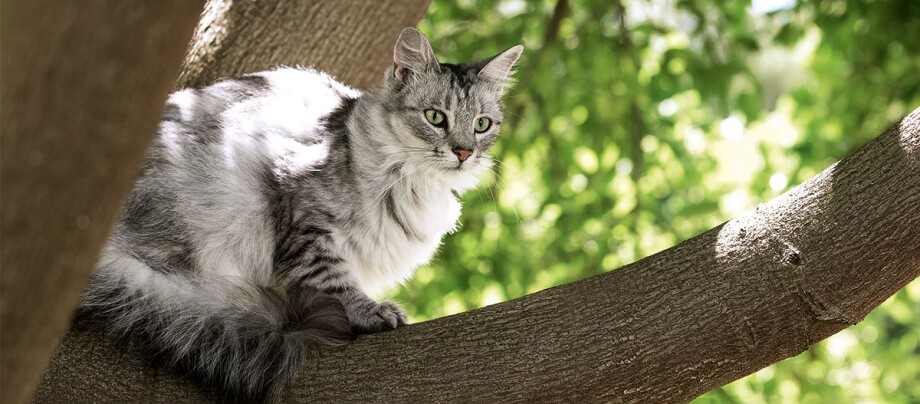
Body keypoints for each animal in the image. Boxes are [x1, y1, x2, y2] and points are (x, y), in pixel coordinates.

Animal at [78, 26, 520, 402]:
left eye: (482, 125)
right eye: (435, 117)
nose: (464, 152)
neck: (418, 185)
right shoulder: (304, 212)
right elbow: (333, 278)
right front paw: (368, 311)